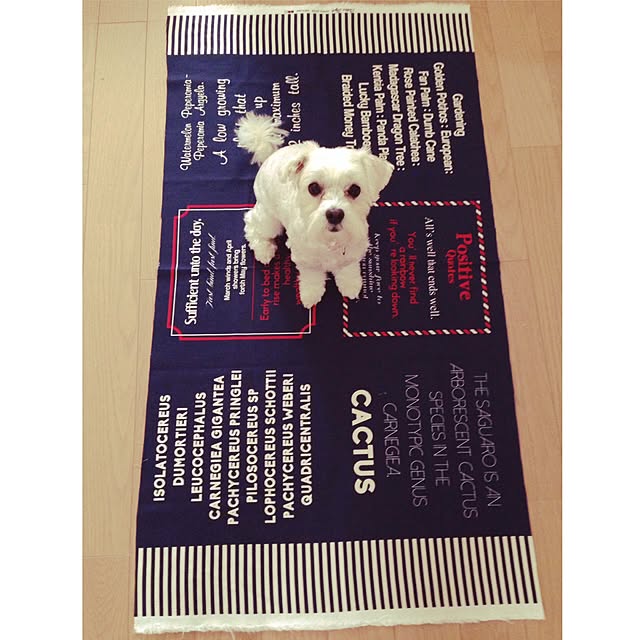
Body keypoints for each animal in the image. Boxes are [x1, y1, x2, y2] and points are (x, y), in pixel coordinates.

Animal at [235, 112, 394, 309]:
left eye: (355, 190)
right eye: (314, 188)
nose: (334, 214)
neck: (330, 242)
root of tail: (269, 156)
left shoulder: (353, 250)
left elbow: (347, 269)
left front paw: (350, 285)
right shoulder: (305, 259)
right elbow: (312, 277)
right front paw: (311, 294)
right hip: (269, 219)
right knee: (252, 223)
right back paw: (264, 249)